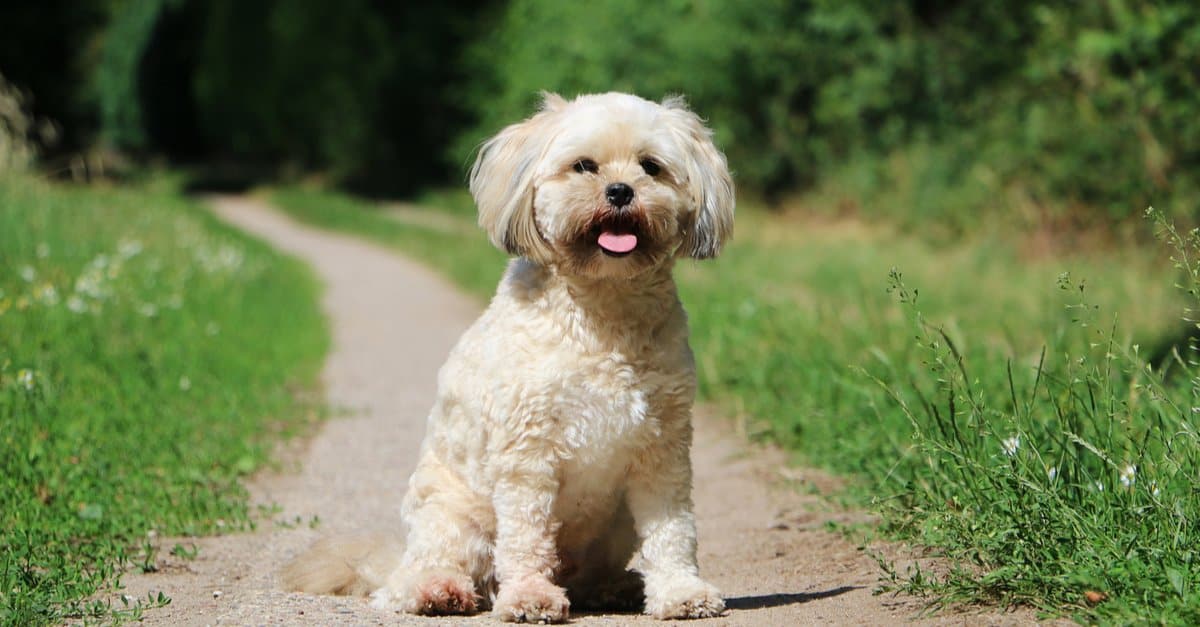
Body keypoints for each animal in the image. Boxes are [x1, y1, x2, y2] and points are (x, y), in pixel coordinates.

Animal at [285, 88, 734, 619]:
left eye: (651, 167)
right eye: (584, 166)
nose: (621, 191)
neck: (603, 312)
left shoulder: (662, 449)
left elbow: (672, 530)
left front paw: (682, 591)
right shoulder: (527, 451)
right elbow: (526, 535)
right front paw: (529, 596)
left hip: (616, 522)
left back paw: (614, 585)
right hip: (453, 515)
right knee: (416, 578)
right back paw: (438, 590)